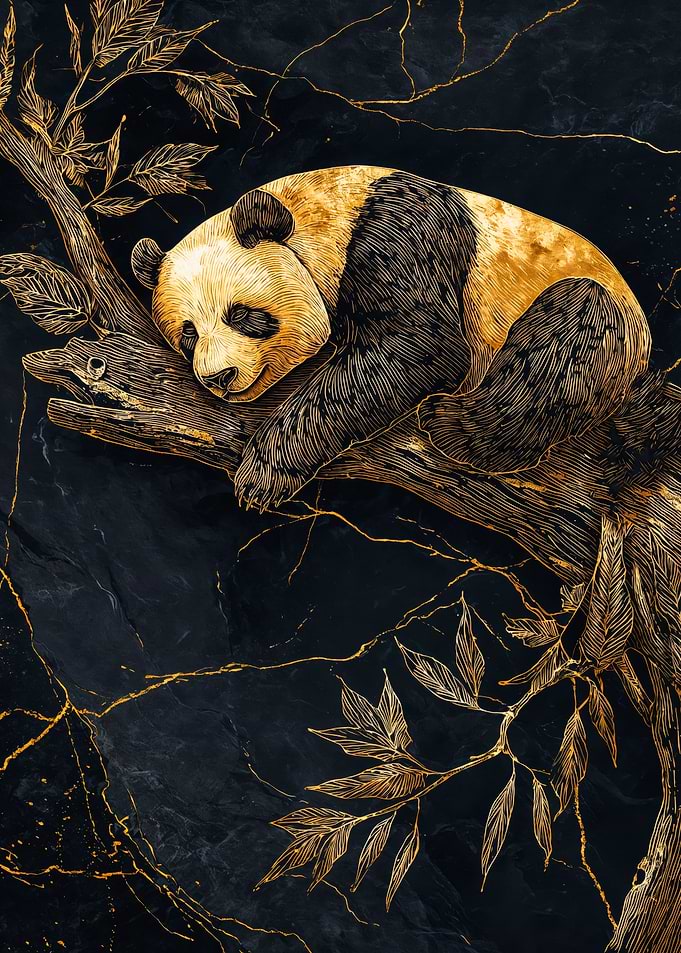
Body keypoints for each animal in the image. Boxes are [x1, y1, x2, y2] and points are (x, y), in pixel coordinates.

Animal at [131, 165, 651, 510]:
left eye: (241, 315)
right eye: (188, 334)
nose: (217, 377)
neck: (322, 212)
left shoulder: (397, 235)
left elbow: (420, 345)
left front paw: (264, 474)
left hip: (597, 323)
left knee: (567, 335)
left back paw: (450, 425)